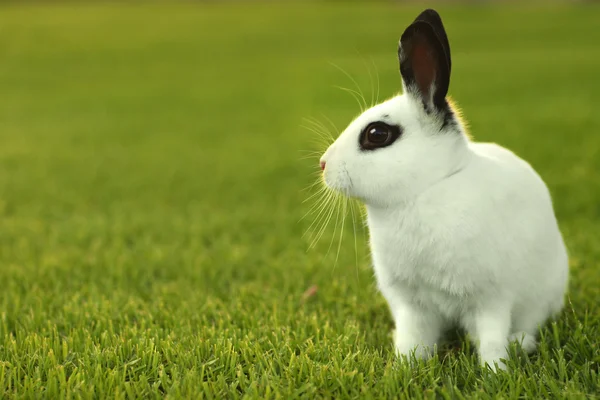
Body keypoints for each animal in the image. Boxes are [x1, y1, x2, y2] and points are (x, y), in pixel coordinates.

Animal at [318, 8, 568, 372]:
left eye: (377, 134)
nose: (323, 165)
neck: (426, 189)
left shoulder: (491, 299)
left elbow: (491, 338)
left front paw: (495, 372)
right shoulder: (411, 305)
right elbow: (413, 340)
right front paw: (403, 368)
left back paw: (521, 343)